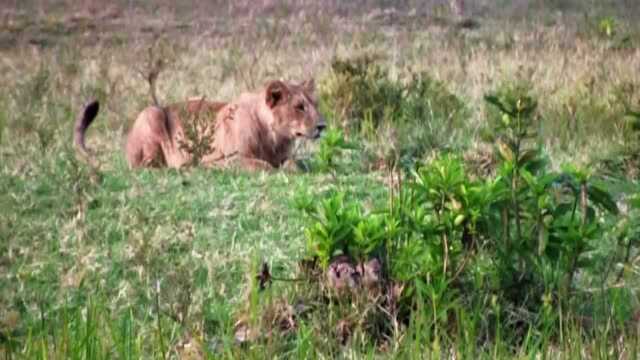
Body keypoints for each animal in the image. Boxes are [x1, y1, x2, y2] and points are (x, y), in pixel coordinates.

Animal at [74, 80, 324, 170]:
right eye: (300, 106)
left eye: (315, 103)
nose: (322, 125)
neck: (275, 138)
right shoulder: (228, 159)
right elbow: (262, 166)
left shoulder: (284, 155)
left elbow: (293, 163)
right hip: (151, 114)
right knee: (147, 167)